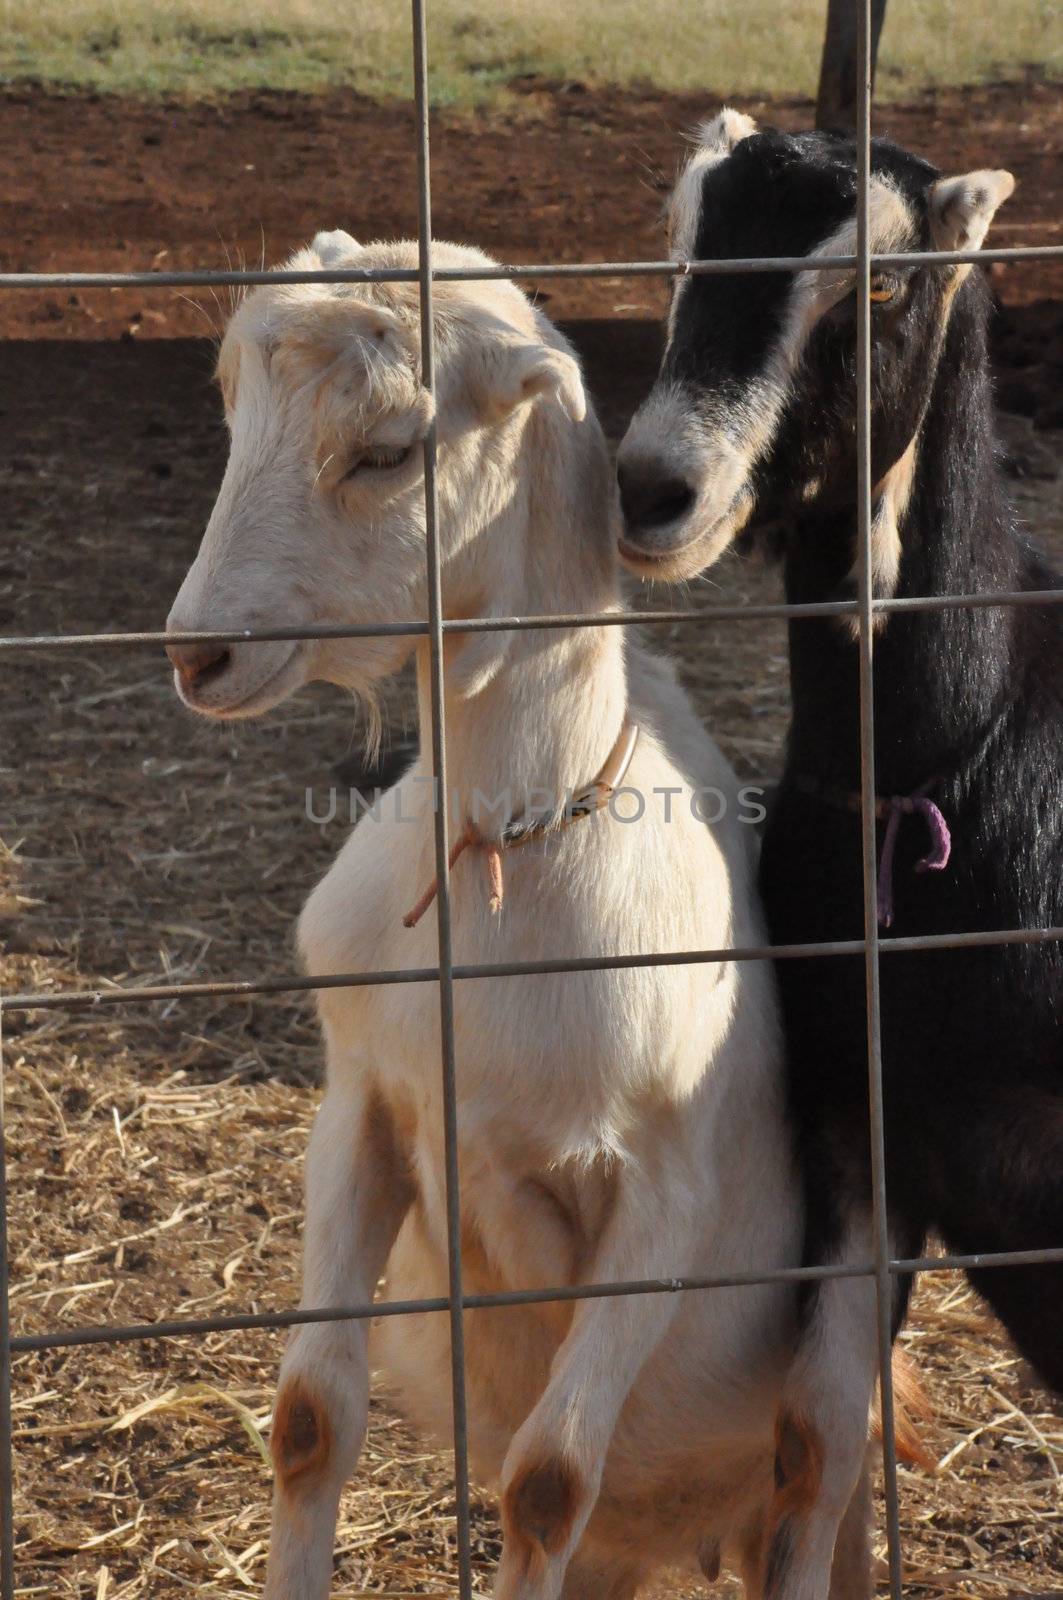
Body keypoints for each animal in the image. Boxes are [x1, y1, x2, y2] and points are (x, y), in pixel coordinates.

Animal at [168, 236, 819, 1600]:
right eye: (234, 411)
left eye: (387, 450)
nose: (196, 655)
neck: (501, 852)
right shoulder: (363, 1104)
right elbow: (309, 1419)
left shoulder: (660, 1196)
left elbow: (546, 1480)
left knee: (808, 1490)